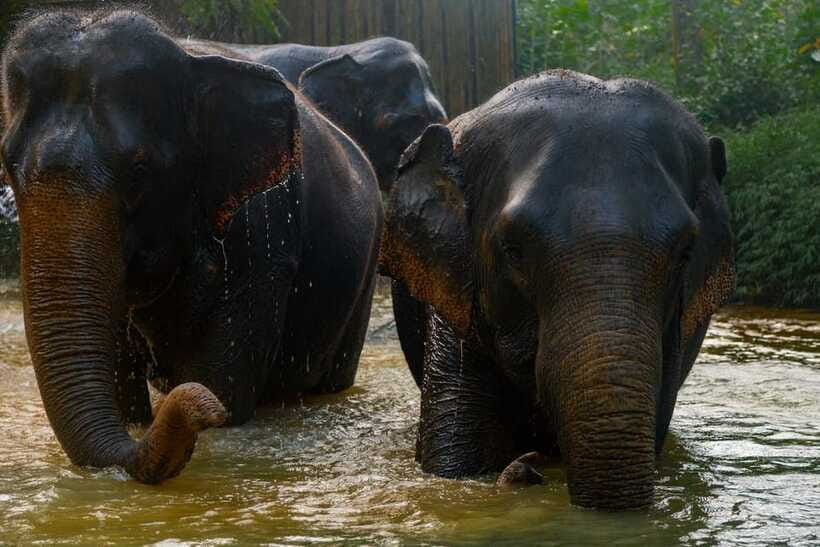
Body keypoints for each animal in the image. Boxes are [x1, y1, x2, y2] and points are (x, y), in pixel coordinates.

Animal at [0, 10, 383, 484]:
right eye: (7, 165)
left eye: (139, 170)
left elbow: (226, 375)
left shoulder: (263, 231)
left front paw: (217, 406)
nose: (203, 407)